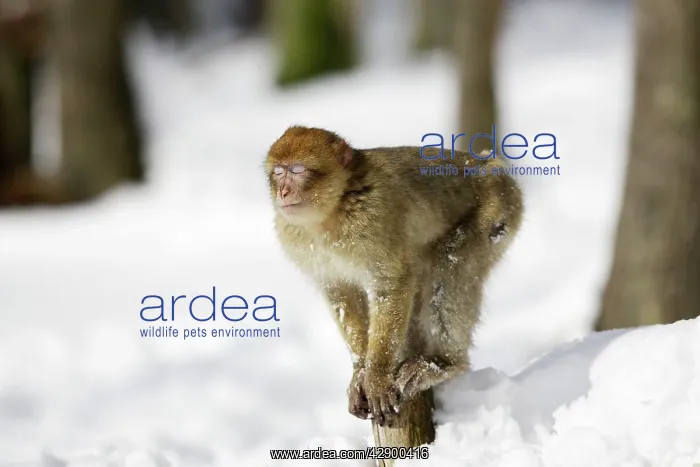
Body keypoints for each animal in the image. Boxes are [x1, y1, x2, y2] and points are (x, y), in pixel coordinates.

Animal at [265, 126, 523, 427]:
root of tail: (492, 164)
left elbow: (392, 282)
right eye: (278, 172)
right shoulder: (294, 236)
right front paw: (360, 371)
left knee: (449, 268)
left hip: (495, 214)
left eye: (297, 170)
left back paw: (444, 363)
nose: (283, 192)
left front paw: (376, 376)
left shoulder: (373, 218)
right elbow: (341, 294)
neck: (334, 209)